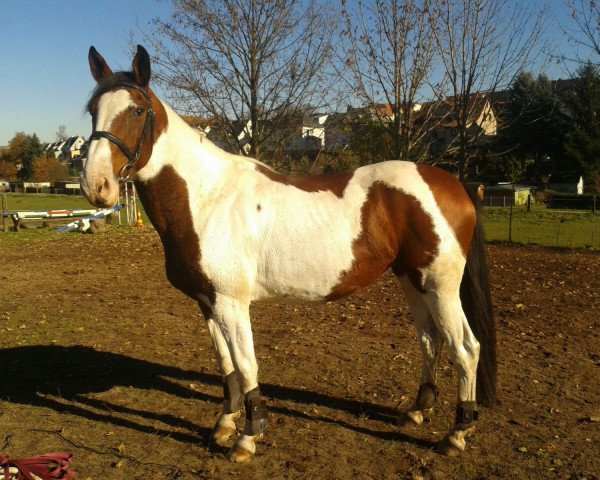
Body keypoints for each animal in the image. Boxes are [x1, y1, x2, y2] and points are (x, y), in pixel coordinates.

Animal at [83, 44, 496, 462]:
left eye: (137, 110)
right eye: (92, 110)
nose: (95, 185)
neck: (207, 197)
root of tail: (454, 184)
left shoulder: (231, 303)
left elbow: (246, 366)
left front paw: (248, 437)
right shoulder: (207, 303)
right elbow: (226, 366)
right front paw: (224, 425)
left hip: (440, 287)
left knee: (465, 348)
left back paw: (457, 434)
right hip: (412, 280)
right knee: (430, 340)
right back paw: (416, 411)